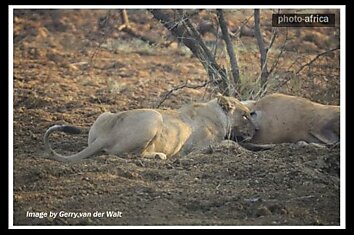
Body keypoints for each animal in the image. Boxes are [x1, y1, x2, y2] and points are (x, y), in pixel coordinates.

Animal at [45, 94, 258, 161]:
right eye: (245, 115)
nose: (257, 130)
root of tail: (105, 135)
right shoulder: (198, 148)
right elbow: (229, 144)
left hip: (105, 115)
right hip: (155, 116)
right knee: (132, 155)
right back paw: (159, 156)